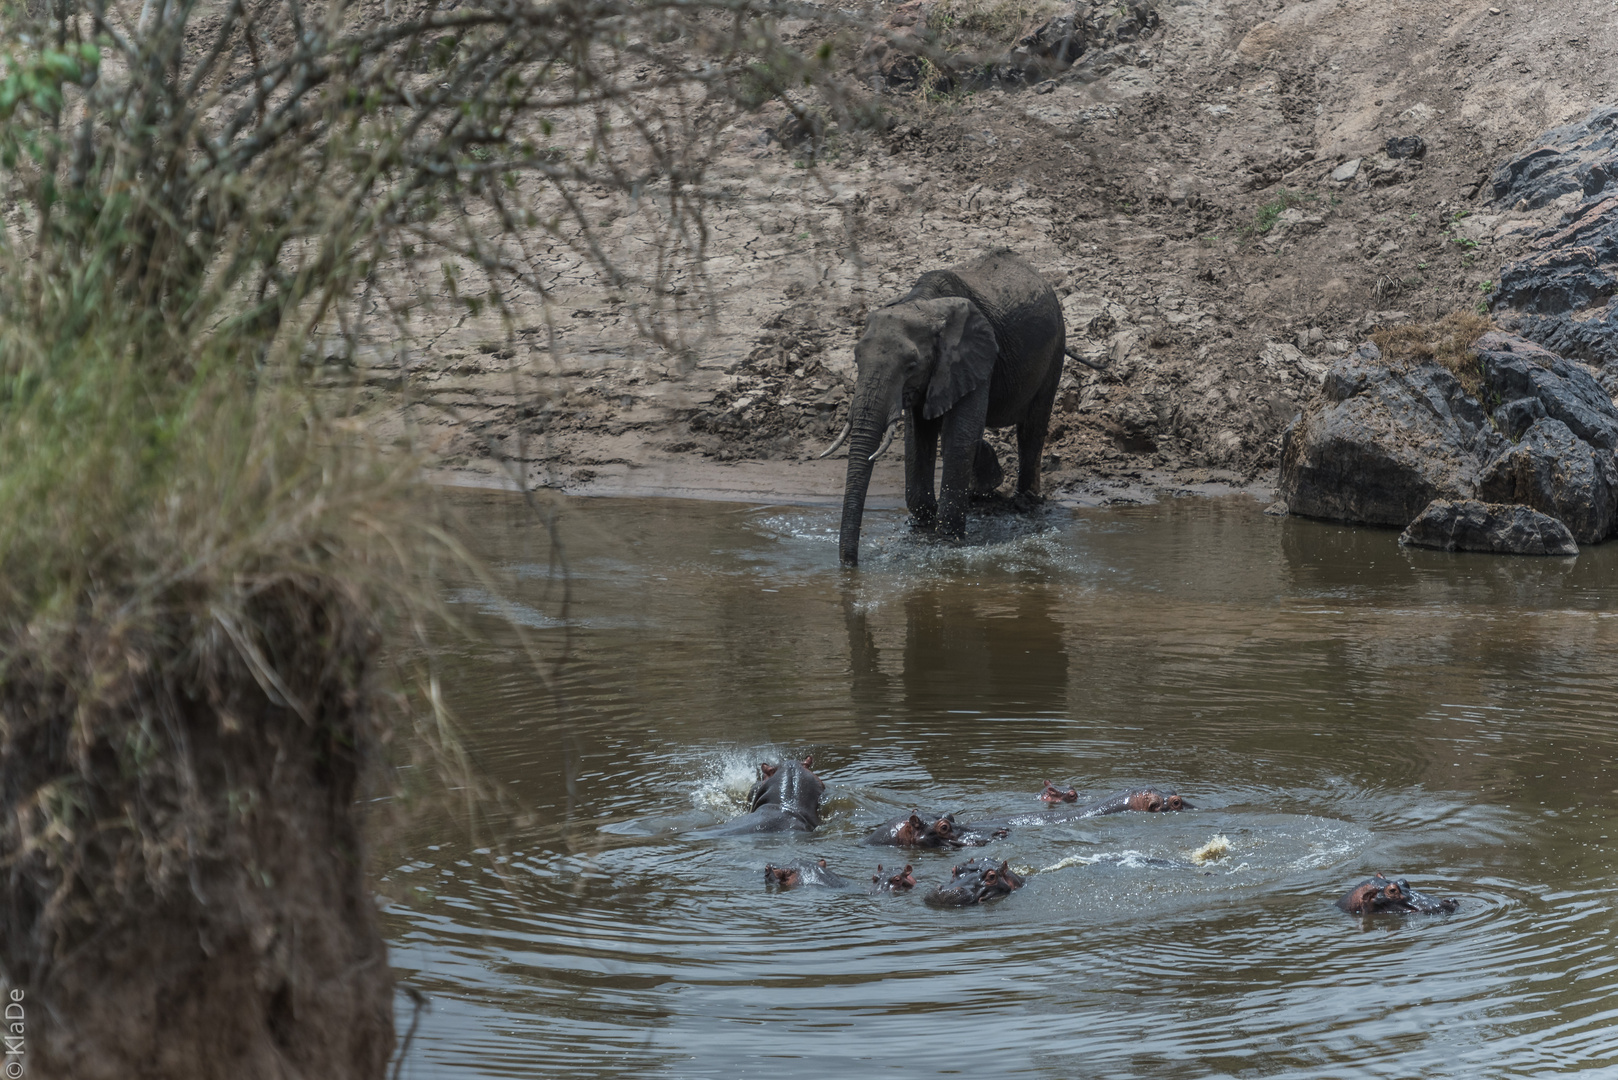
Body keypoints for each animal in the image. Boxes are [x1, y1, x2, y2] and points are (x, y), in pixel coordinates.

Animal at [828, 246, 1067, 566]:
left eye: (911, 365)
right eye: (856, 358)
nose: (850, 565)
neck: (922, 304)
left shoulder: (971, 356)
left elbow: (958, 436)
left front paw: (946, 541)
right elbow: (919, 437)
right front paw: (921, 527)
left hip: (1055, 349)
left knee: (1032, 427)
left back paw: (1025, 502)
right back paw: (983, 493)